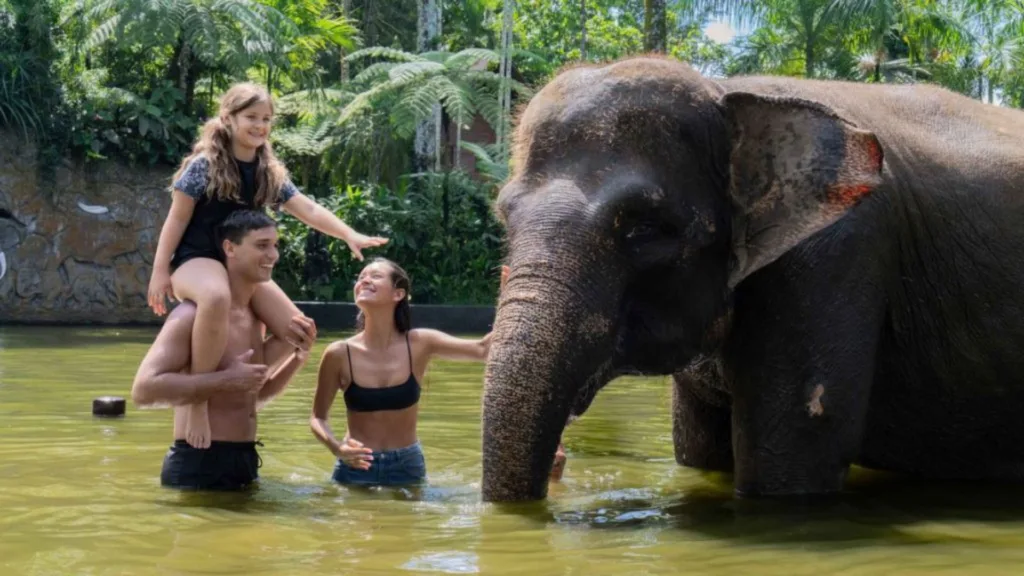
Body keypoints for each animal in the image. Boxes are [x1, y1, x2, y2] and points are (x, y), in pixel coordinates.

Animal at [481, 54, 1024, 502]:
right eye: (504, 216)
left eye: (646, 228)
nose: (559, 465)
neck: (725, 91)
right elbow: (698, 452)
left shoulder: (831, 258)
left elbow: (794, 453)